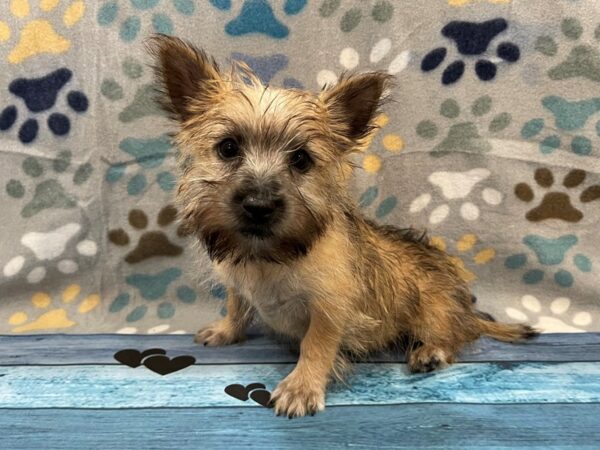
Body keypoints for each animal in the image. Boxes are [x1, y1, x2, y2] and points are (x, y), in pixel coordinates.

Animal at [146, 35, 540, 418]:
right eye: (228, 148)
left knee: (457, 335)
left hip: (434, 309)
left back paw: (432, 351)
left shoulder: (331, 307)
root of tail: (465, 309)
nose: (259, 205)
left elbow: (315, 345)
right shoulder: (238, 282)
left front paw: (301, 386)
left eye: (301, 159)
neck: (270, 256)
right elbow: (236, 305)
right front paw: (226, 331)